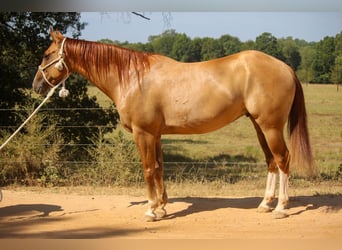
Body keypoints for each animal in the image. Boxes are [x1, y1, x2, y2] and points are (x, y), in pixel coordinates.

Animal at [32, 29, 316, 221]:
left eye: (46, 54)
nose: (36, 86)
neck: (132, 77)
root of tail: (286, 67)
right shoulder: (156, 135)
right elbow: (159, 168)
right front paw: (162, 207)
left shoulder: (143, 133)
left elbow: (148, 169)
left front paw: (150, 210)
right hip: (260, 126)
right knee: (271, 161)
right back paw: (265, 204)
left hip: (270, 127)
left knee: (283, 159)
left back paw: (281, 208)